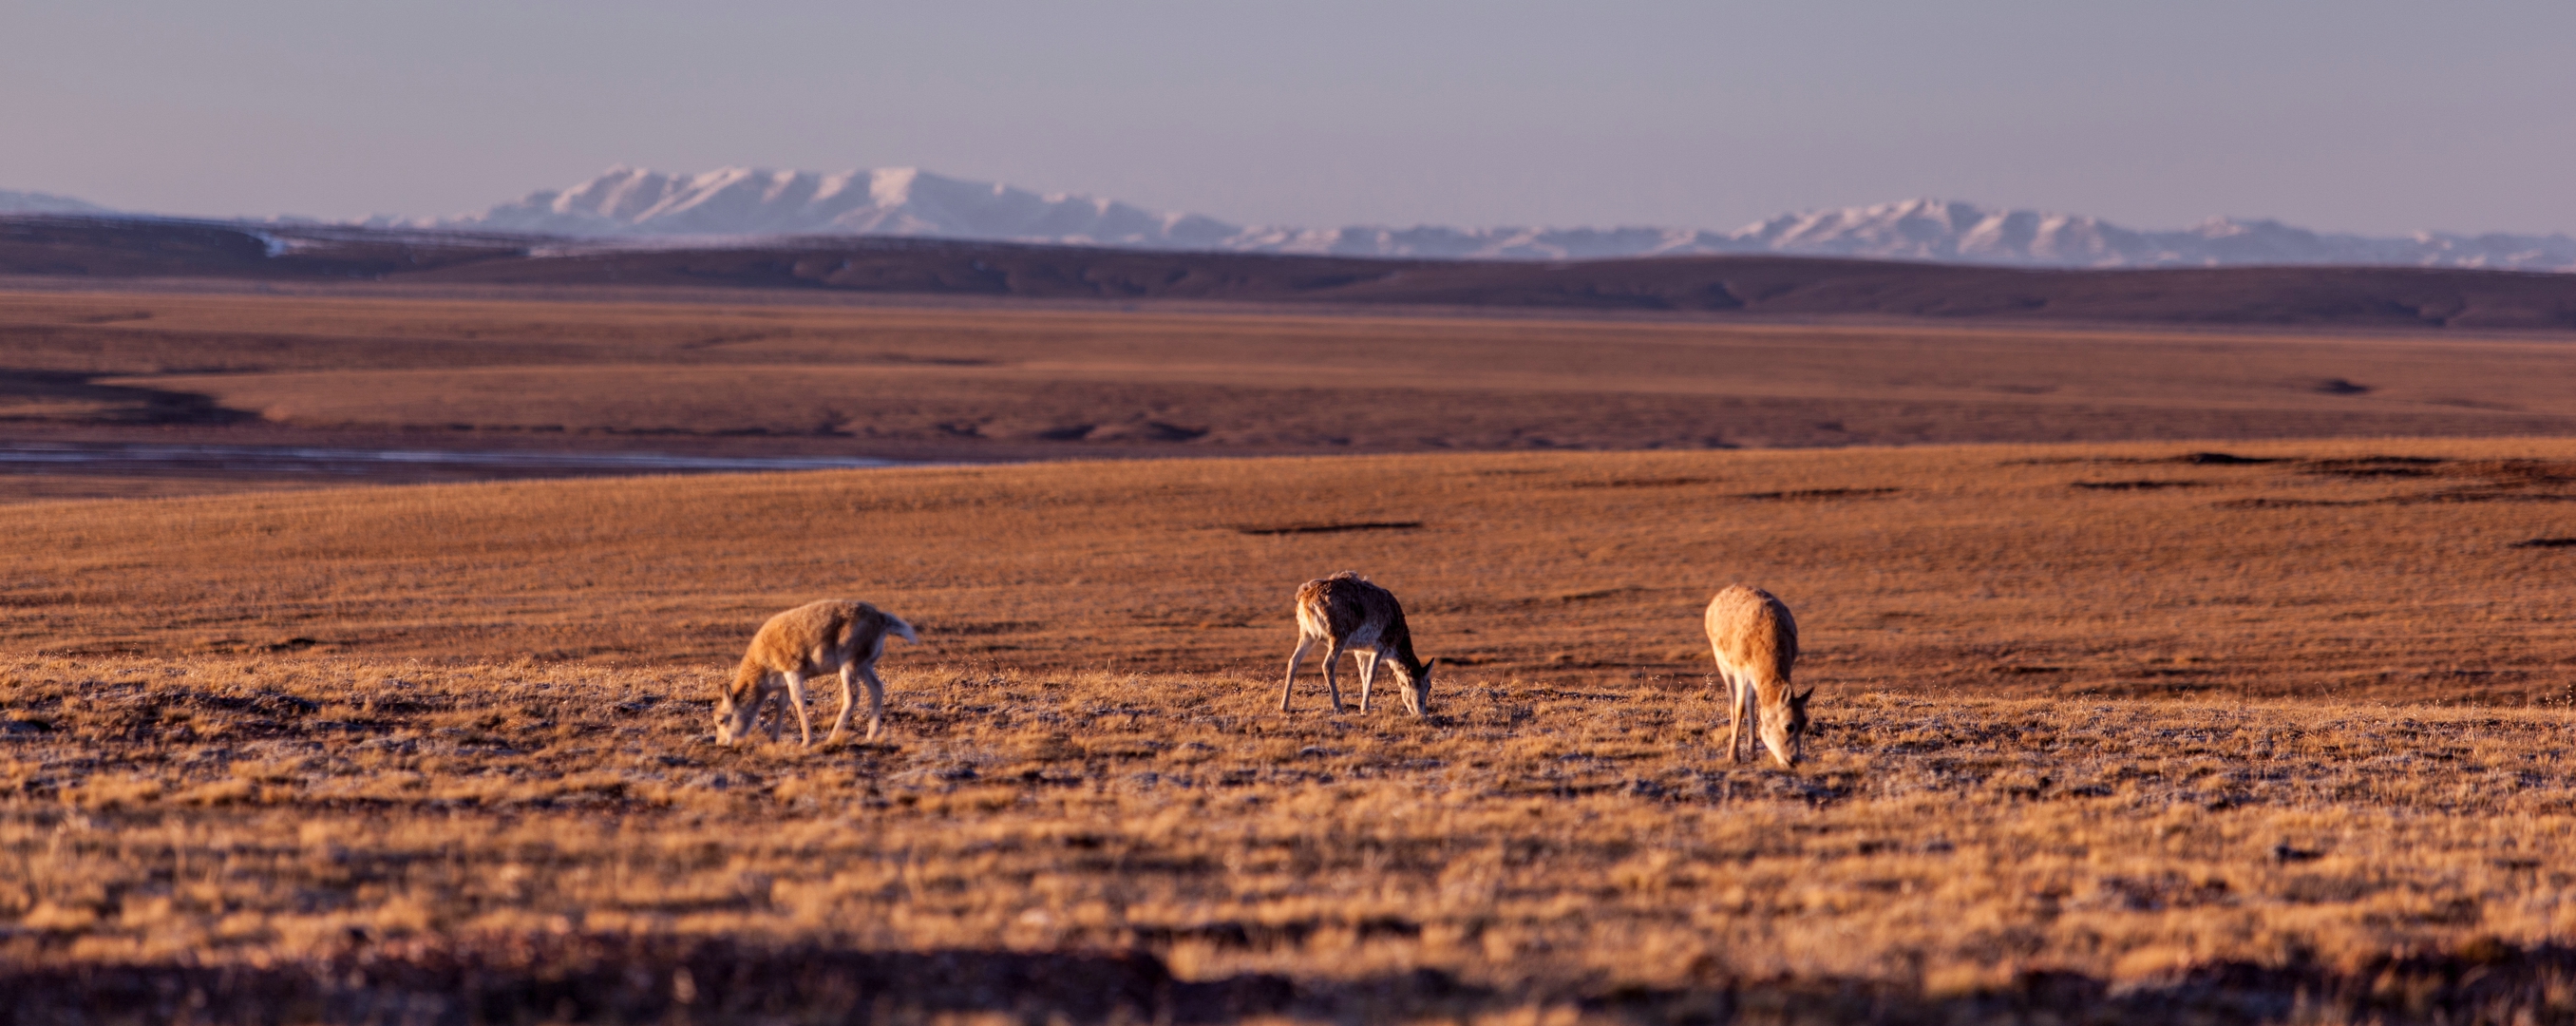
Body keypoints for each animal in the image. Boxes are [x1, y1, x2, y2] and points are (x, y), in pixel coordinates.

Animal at [721, 600, 921, 747]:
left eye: (722, 719)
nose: (721, 743)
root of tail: (881, 617)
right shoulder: (784, 682)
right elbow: (781, 704)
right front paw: (772, 739)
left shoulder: (792, 672)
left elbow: (798, 700)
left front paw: (807, 741)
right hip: (864, 666)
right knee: (876, 689)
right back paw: (871, 735)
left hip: (848, 665)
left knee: (852, 695)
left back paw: (832, 737)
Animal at [1282, 572, 1442, 716]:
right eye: (1428, 686)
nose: (1422, 713)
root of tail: (1306, 597)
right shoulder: (1379, 647)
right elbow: (1371, 673)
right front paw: (1365, 708)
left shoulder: (1361, 652)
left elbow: (1363, 674)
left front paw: (1365, 707)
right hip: (1338, 638)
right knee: (1327, 665)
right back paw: (1338, 709)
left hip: (1308, 636)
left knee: (1293, 661)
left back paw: (1284, 707)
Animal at [1710, 584, 1813, 768]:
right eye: (1789, 725)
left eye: (1804, 724)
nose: (1794, 760)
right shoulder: (1741, 672)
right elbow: (1739, 708)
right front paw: (1733, 756)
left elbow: (1751, 704)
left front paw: (1751, 753)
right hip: (1723, 665)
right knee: (1732, 699)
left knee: (1750, 701)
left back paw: (1752, 751)